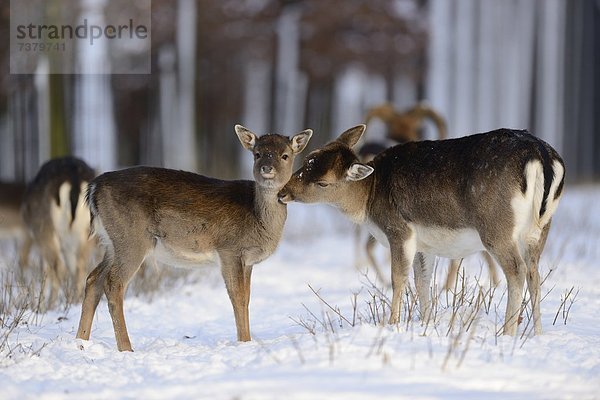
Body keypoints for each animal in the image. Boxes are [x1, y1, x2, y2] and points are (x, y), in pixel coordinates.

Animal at [21, 156, 96, 306]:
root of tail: (73, 178)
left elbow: (45, 269)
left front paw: (41, 306)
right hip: (87, 231)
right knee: (80, 265)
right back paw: (76, 301)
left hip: (45, 227)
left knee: (58, 265)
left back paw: (51, 304)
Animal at [76, 124, 314, 350]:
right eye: (257, 154)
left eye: (285, 155)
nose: (267, 168)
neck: (257, 217)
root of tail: (94, 187)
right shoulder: (229, 249)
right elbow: (237, 298)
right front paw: (245, 341)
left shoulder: (247, 260)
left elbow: (247, 298)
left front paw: (246, 340)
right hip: (132, 238)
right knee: (113, 283)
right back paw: (126, 347)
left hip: (112, 241)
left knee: (93, 278)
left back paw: (81, 341)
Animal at [278, 126, 564, 338]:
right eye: (309, 158)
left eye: (323, 183)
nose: (283, 193)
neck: (369, 202)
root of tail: (543, 157)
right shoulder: (425, 244)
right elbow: (423, 280)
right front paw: (426, 322)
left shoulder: (399, 230)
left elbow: (398, 279)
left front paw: (392, 324)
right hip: (540, 229)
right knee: (534, 273)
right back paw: (537, 332)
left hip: (497, 228)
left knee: (516, 271)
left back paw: (507, 332)